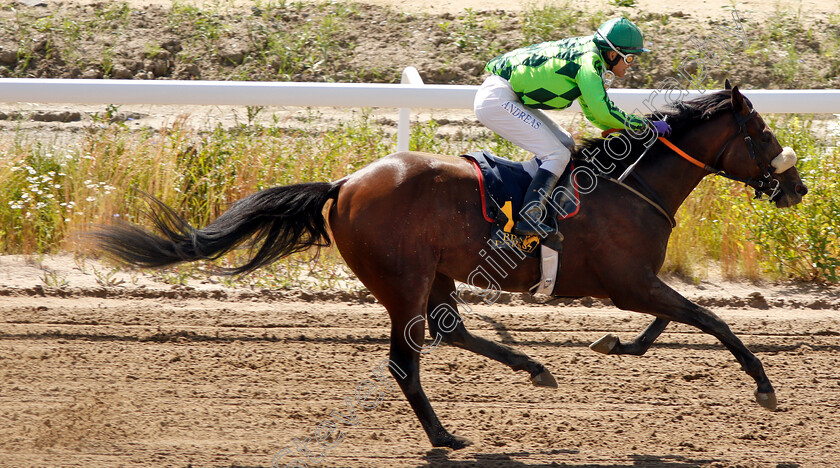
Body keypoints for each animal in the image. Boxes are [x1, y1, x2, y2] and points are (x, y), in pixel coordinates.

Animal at [90, 85, 808, 450]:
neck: (629, 186)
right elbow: (710, 320)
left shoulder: (635, 284)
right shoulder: (629, 283)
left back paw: (532, 369)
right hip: (400, 279)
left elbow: (679, 319)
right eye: (762, 132)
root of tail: (343, 185)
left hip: (431, 272)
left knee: (447, 329)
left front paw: (616, 346)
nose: (796, 187)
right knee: (405, 360)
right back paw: (447, 436)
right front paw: (766, 388)